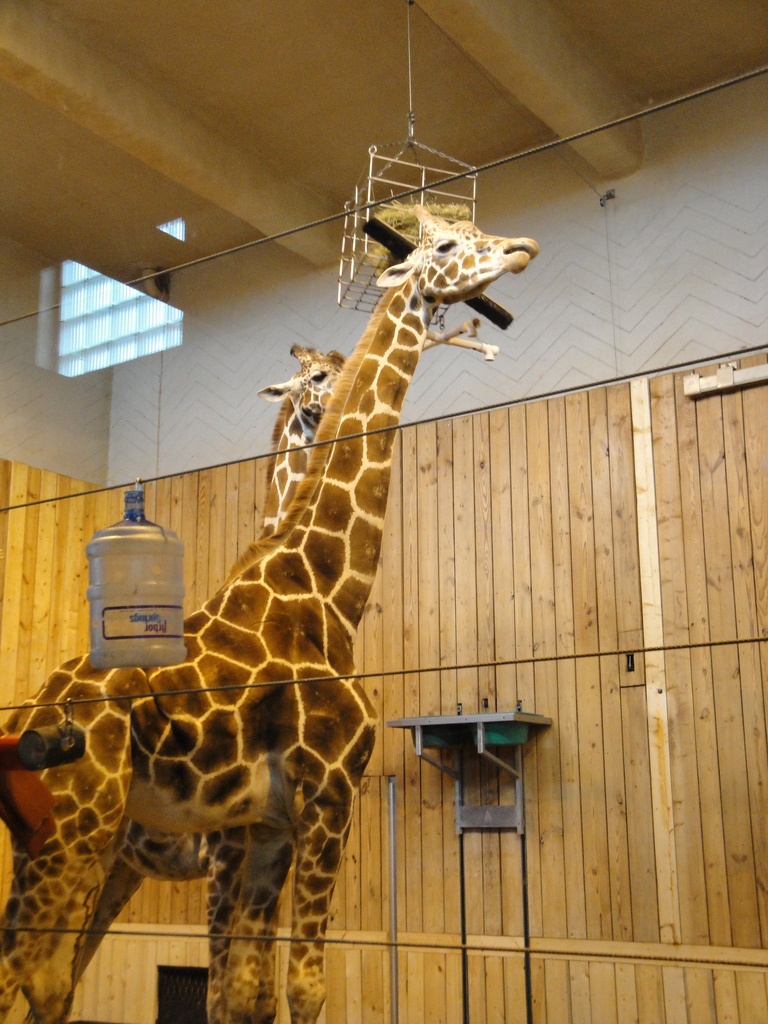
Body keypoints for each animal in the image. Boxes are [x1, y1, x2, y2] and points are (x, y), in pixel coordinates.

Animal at [0, 206, 538, 1024]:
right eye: (445, 242)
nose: (519, 248)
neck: (324, 589)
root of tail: (29, 712)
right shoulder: (323, 797)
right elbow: (295, 989)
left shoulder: (264, 828)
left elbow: (247, 995)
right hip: (76, 829)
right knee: (27, 974)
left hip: (94, 849)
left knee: (51, 981)